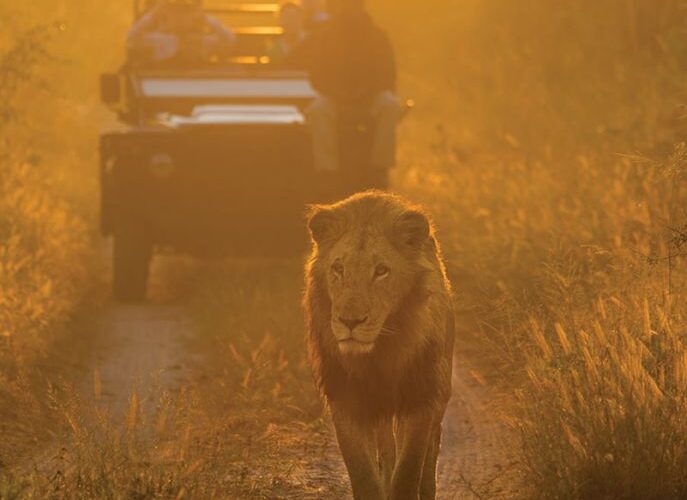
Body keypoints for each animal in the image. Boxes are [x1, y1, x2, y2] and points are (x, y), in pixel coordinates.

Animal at [304, 191, 454, 500]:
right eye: (338, 268)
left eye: (382, 271)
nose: (350, 321)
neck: (379, 354)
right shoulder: (345, 400)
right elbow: (364, 475)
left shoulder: (420, 397)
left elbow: (408, 471)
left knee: (431, 452)